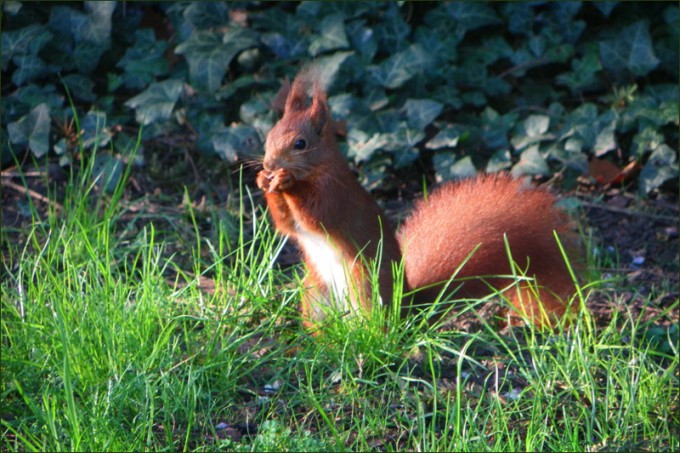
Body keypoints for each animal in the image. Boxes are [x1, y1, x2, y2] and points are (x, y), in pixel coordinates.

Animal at [257, 70, 581, 332]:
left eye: (300, 144)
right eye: (269, 136)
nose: (270, 164)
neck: (320, 168)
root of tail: (408, 304)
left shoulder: (335, 196)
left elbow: (313, 214)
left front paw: (285, 183)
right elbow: (287, 225)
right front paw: (264, 182)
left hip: (365, 286)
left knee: (373, 325)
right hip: (315, 294)